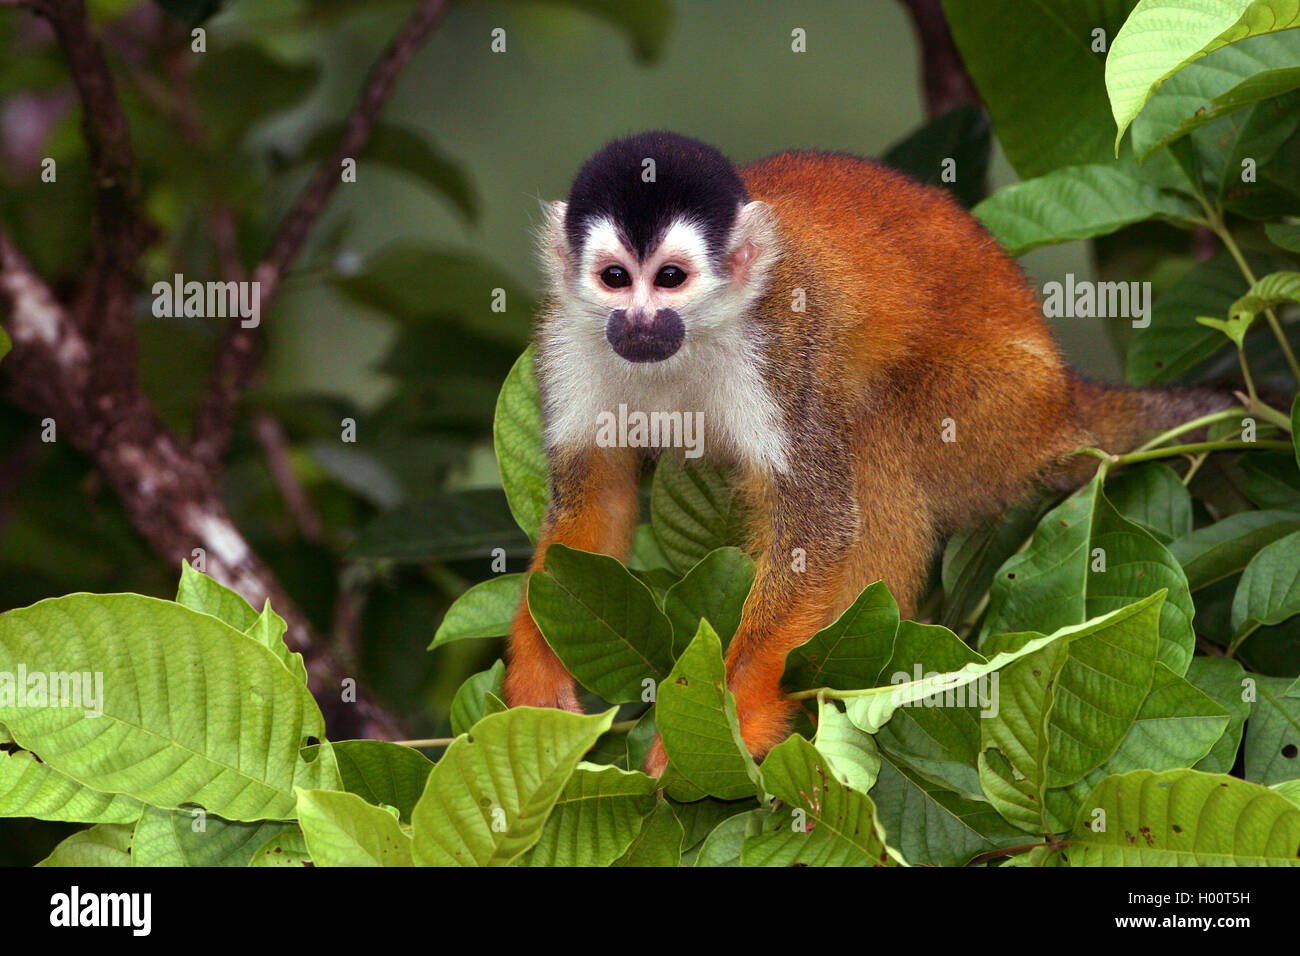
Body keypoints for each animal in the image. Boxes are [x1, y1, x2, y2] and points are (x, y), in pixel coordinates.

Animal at [501, 130, 1232, 780]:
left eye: (671, 278)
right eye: (615, 278)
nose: (639, 322)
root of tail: (1065, 399)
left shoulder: (784, 341)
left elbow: (817, 521)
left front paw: (733, 720)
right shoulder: (567, 339)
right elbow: (595, 502)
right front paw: (537, 684)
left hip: (1002, 415)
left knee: (874, 429)